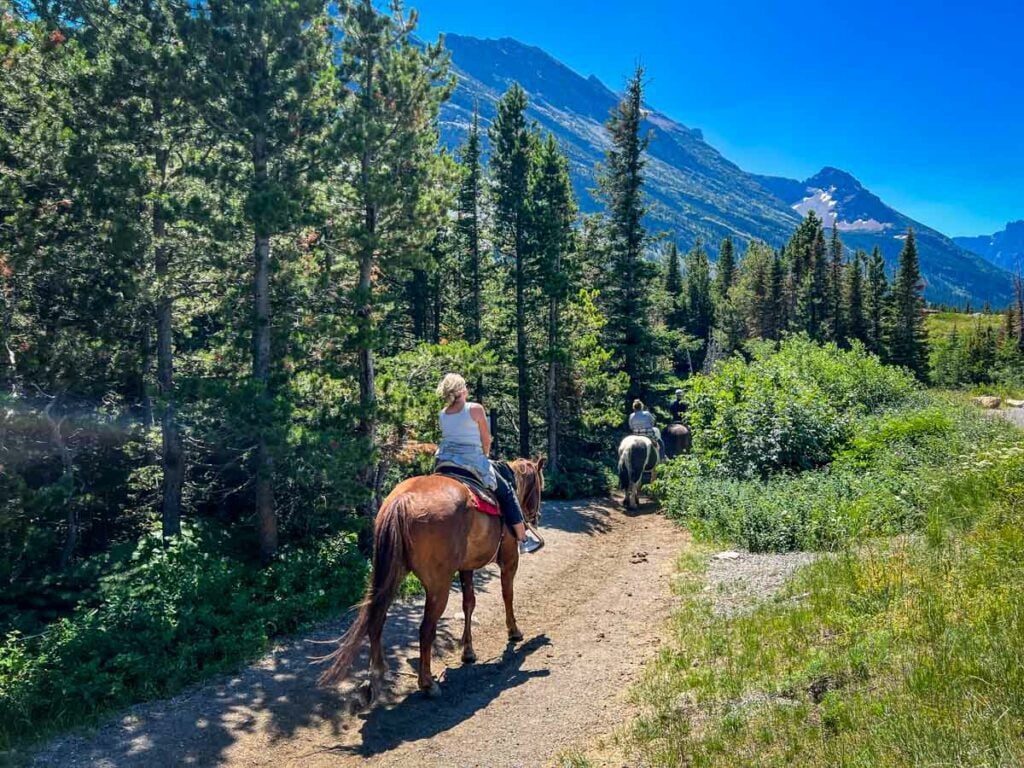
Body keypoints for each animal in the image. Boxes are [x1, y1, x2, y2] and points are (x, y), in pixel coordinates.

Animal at [317, 456, 544, 704]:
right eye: (539, 486)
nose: (535, 517)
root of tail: (402, 501)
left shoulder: (466, 567)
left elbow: (469, 603)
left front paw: (468, 651)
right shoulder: (510, 559)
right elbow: (507, 595)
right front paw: (514, 632)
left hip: (391, 575)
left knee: (377, 620)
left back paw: (375, 678)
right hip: (438, 586)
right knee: (426, 629)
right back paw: (427, 683)